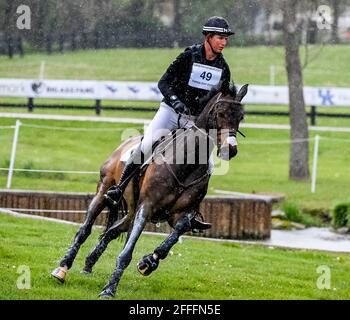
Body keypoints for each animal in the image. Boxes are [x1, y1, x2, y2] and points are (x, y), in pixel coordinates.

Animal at [51, 84, 249, 298]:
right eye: (220, 113)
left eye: (241, 116)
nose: (230, 149)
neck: (186, 164)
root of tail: (123, 145)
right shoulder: (147, 206)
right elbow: (126, 253)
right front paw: (109, 289)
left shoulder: (179, 214)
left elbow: (179, 230)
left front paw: (148, 262)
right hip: (104, 190)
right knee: (85, 230)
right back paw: (62, 268)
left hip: (131, 210)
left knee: (112, 232)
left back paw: (89, 264)